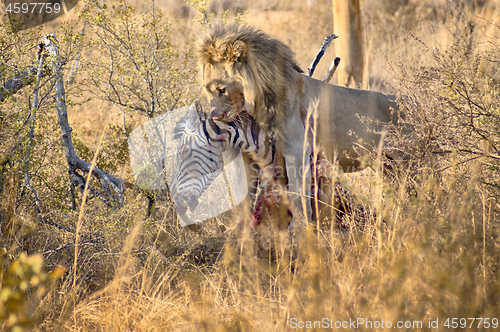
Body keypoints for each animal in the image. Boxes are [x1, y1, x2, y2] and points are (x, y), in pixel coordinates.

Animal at [197, 23, 396, 232]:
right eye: (207, 90)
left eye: (221, 90)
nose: (213, 116)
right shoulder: (251, 154)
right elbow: (247, 194)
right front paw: (242, 229)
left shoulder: (297, 148)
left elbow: (297, 192)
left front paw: (299, 228)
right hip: (389, 168)